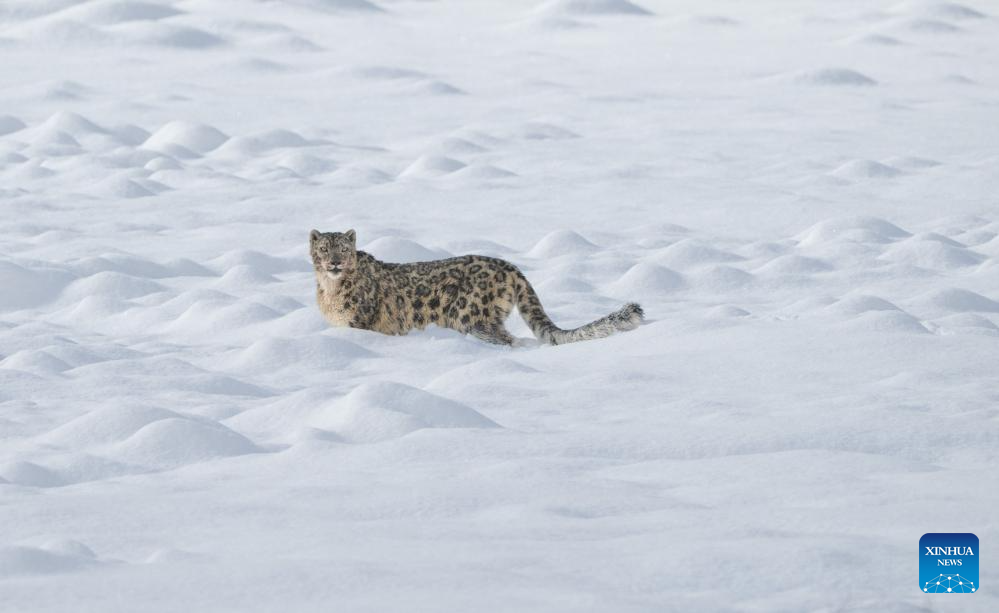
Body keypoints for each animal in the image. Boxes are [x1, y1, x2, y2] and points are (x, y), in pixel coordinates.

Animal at [310, 229, 643, 346]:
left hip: (472, 317)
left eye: (343, 248)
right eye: (324, 248)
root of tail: (511, 268)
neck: (330, 290)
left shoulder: (358, 322)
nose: (335, 262)